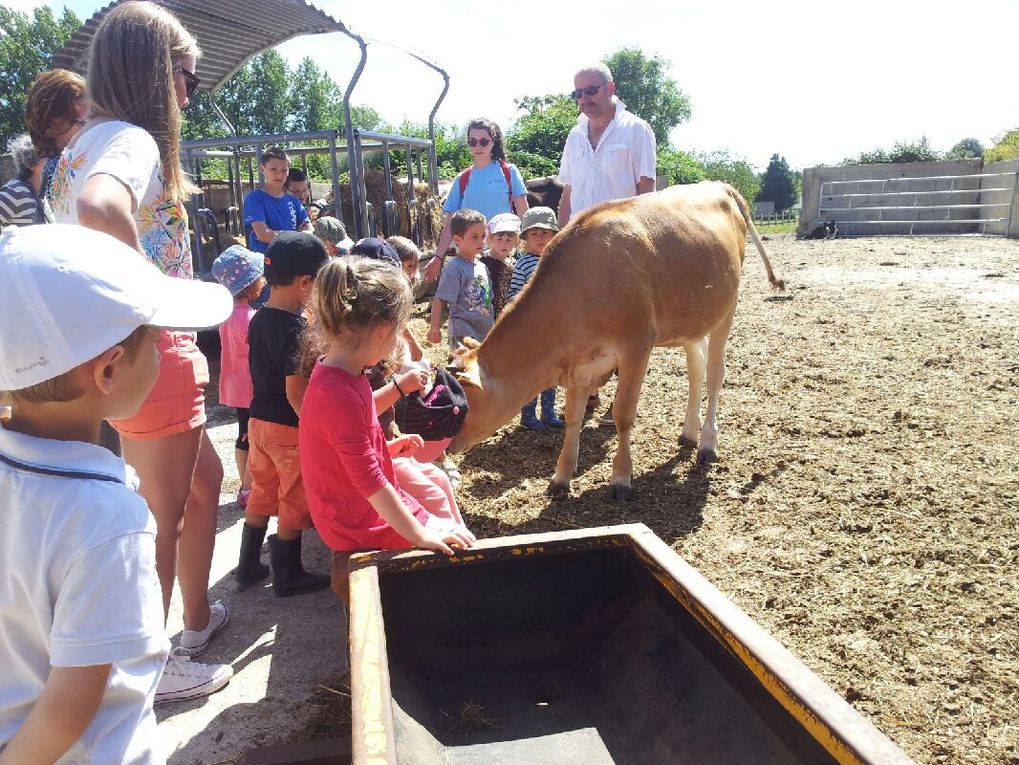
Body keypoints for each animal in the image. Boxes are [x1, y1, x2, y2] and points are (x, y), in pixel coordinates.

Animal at [448, 181, 786, 503]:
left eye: (462, 402)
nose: (446, 444)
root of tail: (717, 185)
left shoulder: (636, 347)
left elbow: (624, 414)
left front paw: (621, 479)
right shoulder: (581, 363)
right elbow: (573, 417)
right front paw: (561, 477)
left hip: (726, 309)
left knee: (715, 374)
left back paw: (707, 443)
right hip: (691, 319)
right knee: (696, 369)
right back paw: (689, 431)